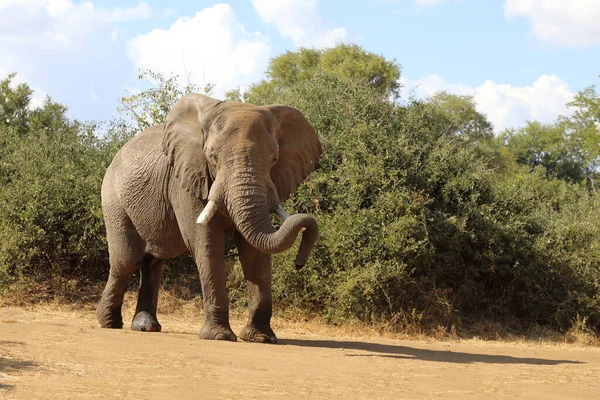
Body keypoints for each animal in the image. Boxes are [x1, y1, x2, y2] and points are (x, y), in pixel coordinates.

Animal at [96, 94, 322, 344]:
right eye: (213, 157)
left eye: (274, 159)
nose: (299, 263)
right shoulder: (186, 180)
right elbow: (207, 244)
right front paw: (219, 337)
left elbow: (255, 253)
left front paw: (260, 338)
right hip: (114, 200)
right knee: (126, 261)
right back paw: (108, 323)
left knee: (153, 262)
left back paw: (145, 327)